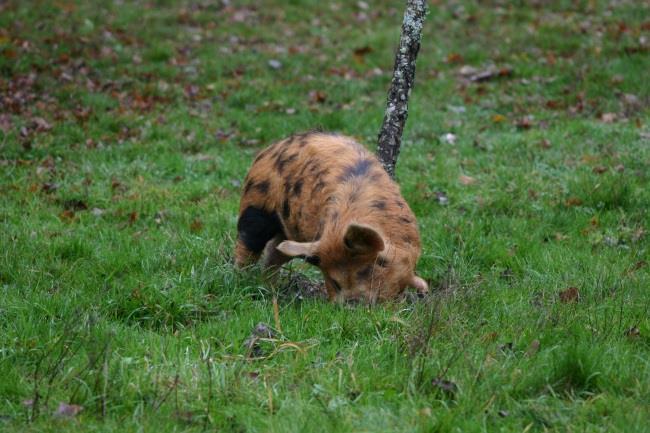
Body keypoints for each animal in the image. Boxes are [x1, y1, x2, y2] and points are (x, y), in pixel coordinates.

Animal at [233, 130, 426, 302]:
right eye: (335, 282)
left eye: (372, 267)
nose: (353, 303)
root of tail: (270, 149)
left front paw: (423, 288)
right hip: (256, 203)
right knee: (248, 243)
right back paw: (242, 279)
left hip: (292, 232)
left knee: (275, 249)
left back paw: (269, 286)